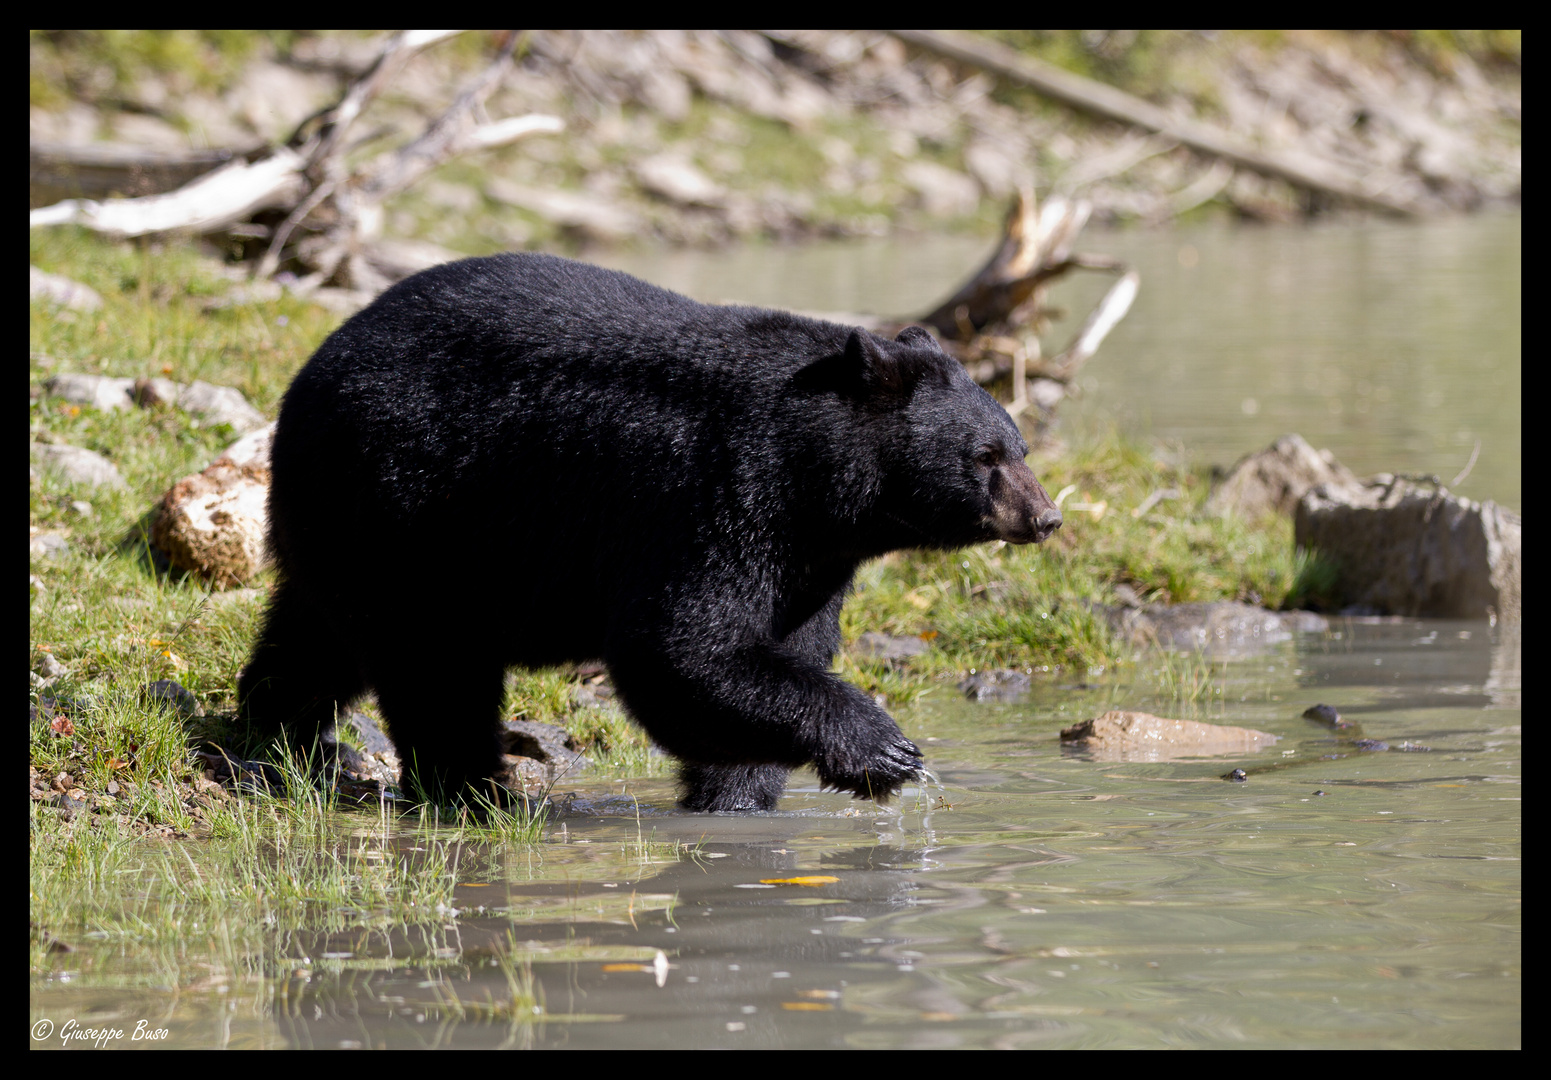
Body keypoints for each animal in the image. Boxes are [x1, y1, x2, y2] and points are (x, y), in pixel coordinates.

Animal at [238, 252, 1067, 806]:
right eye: (985, 456)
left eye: (1019, 449)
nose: (1044, 517)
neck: (817, 469)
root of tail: (311, 370)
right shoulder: (710, 491)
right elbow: (681, 647)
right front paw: (883, 750)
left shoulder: (812, 551)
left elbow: (780, 645)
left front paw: (738, 798)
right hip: (405, 508)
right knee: (434, 667)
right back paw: (472, 789)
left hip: (354, 525)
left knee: (316, 637)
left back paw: (278, 733)